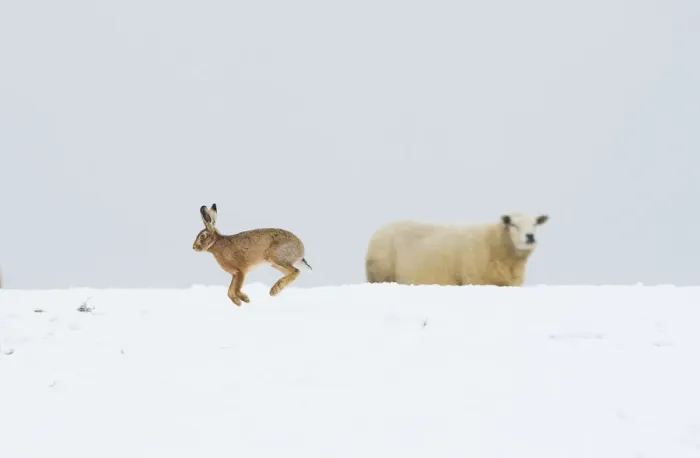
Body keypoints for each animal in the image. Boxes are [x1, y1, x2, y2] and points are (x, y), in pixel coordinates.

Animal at [365, 213, 549, 287]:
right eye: (513, 224)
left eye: (535, 224)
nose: (530, 236)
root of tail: (379, 230)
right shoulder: (475, 279)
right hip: (382, 275)